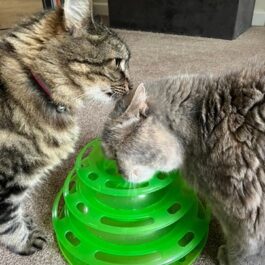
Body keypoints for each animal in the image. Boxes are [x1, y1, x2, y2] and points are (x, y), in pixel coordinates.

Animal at [102, 64, 264, 264]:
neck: (202, 127)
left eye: (116, 155)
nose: (120, 173)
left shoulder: (242, 219)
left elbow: (243, 252)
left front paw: (227, 257)